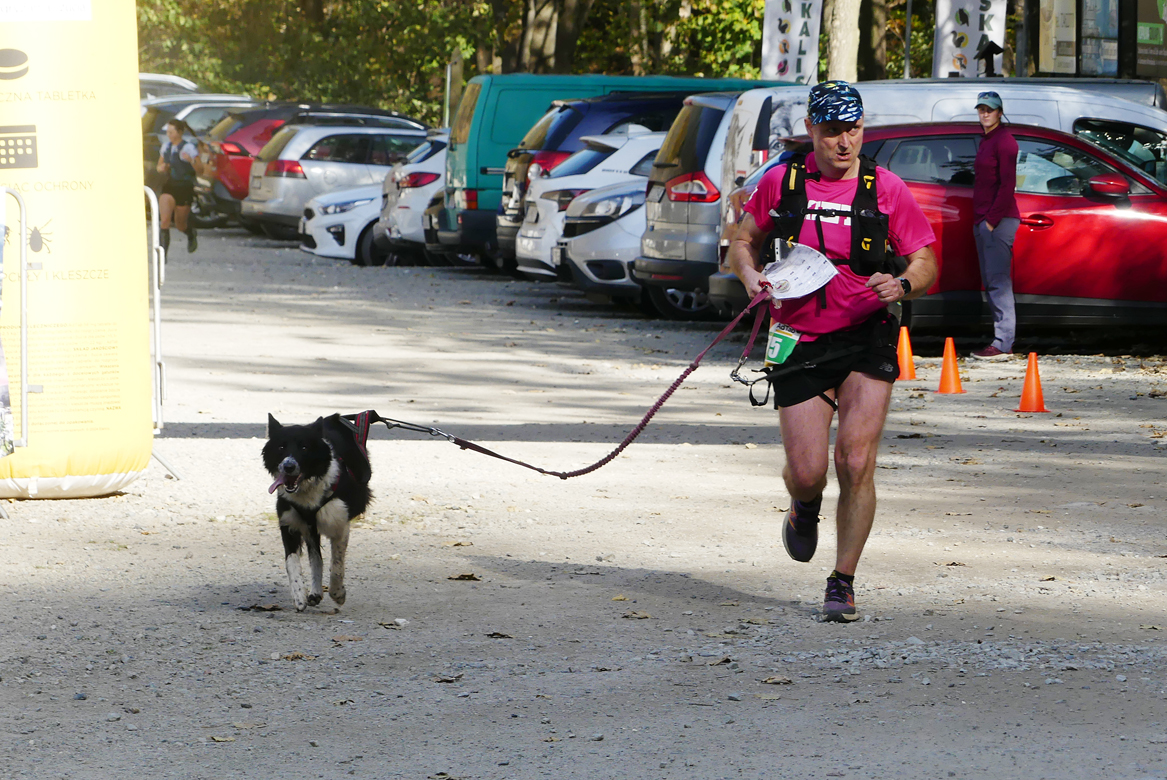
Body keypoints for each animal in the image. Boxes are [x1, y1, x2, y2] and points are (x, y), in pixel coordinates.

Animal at [262, 413, 372, 611]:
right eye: (281, 447)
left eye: (304, 447)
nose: (288, 467)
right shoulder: (289, 523)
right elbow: (292, 562)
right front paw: (299, 595)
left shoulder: (339, 523)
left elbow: (336, 565)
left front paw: (337, 593)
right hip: (309, 528)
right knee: (316, 557)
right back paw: (315, 592)